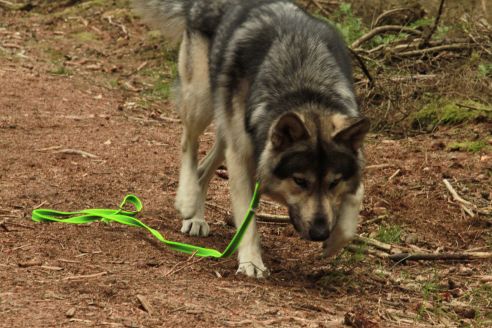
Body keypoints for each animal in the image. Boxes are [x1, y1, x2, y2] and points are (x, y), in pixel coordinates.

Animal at [133, 0, 370, 278]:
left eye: (334, 183)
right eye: (300, 181)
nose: (320, 233)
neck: (306, 88)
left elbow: (357, 194)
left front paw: (337, 241)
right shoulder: (242, 159)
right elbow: (246, 216)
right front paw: (252, 262)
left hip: (225, 125)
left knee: (205, 166)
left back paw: (196, 218)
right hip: (202, 101)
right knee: (188, 144)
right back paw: (187, 200)